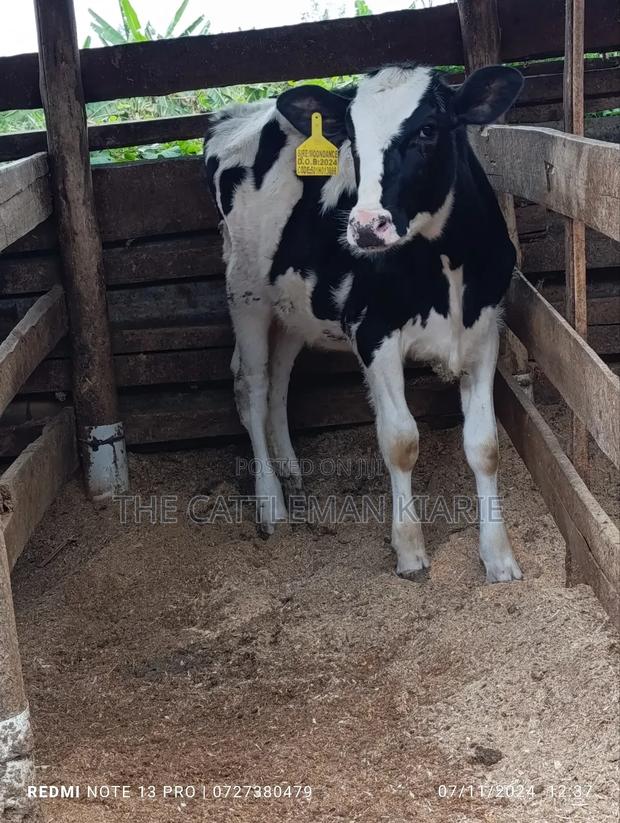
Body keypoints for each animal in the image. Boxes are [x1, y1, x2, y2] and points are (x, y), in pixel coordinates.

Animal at [204, 63, 524, 583]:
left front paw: (498, 557)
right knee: (251, 388)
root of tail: (236, 114)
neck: (446, 263)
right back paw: (272, 505)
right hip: (245, 293)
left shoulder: (484, 330)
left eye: (428, 129)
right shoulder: (373, 333)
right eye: (351, 138)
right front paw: (409, 550)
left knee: (279, 382)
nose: (366, 226)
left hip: (294, 308)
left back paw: (292, 473)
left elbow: (485, 446)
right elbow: (400, 440)